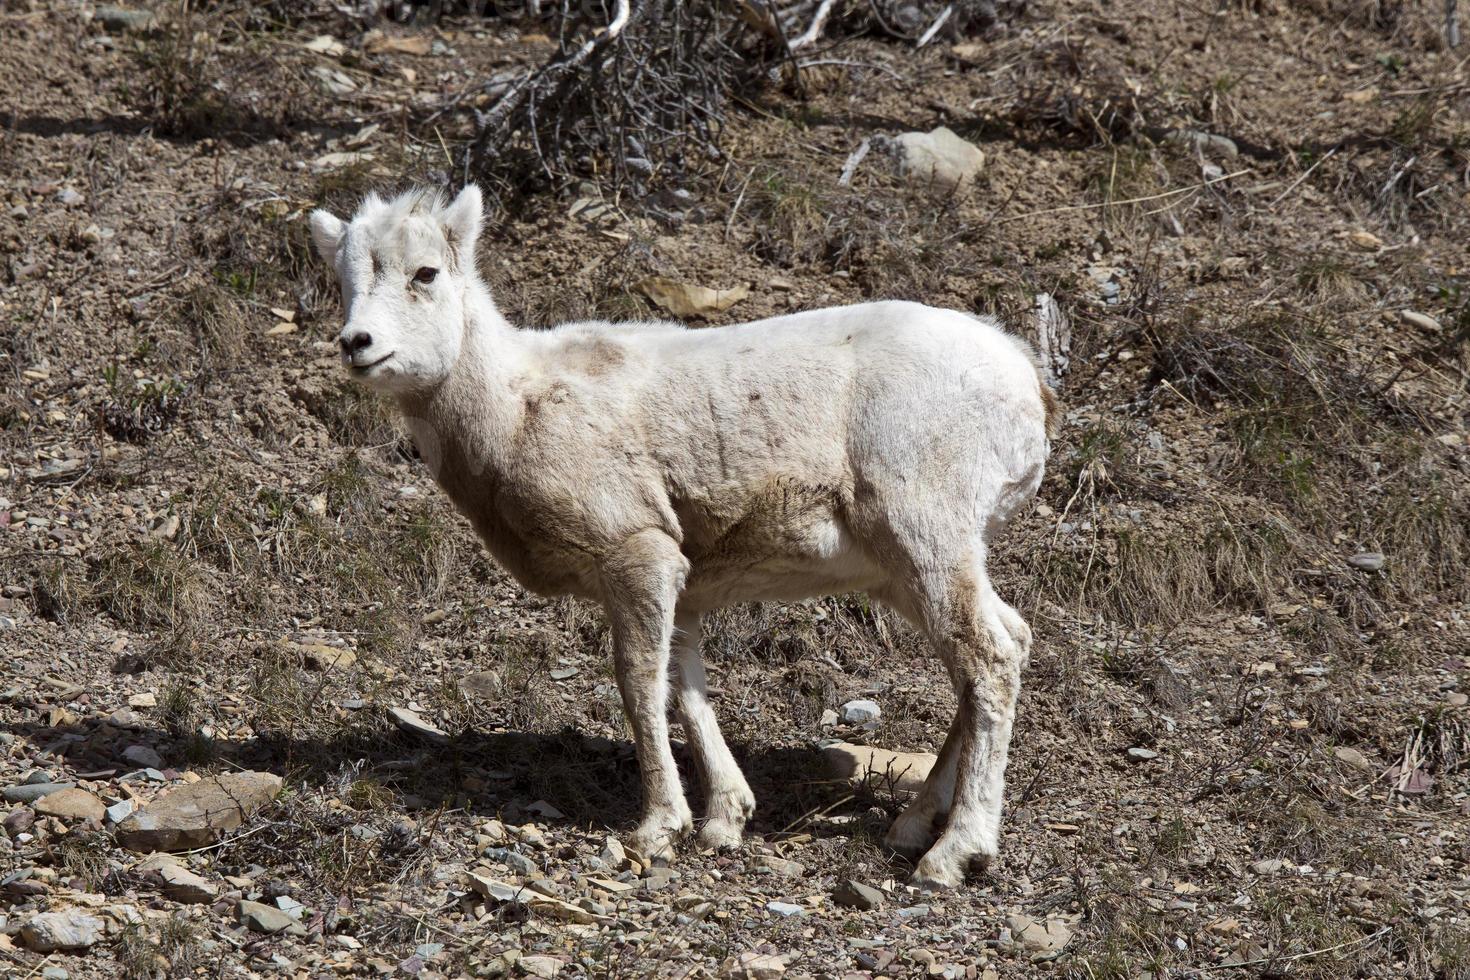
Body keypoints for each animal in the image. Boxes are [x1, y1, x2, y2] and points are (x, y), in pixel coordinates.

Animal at [307, 183, 1058, 887]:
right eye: (343, 280)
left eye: (426, 273)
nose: (357, 344)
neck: (516, 409)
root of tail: (1026, 380)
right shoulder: (685, 584)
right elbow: (685, 686)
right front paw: (725, 821)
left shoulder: (638, 554)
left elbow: (639, 683)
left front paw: (659, 829)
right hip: (904, 568)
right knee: (1002, 645)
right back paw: (909, 826)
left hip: (927, 538)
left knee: (989, 658)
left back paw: (952, 854)